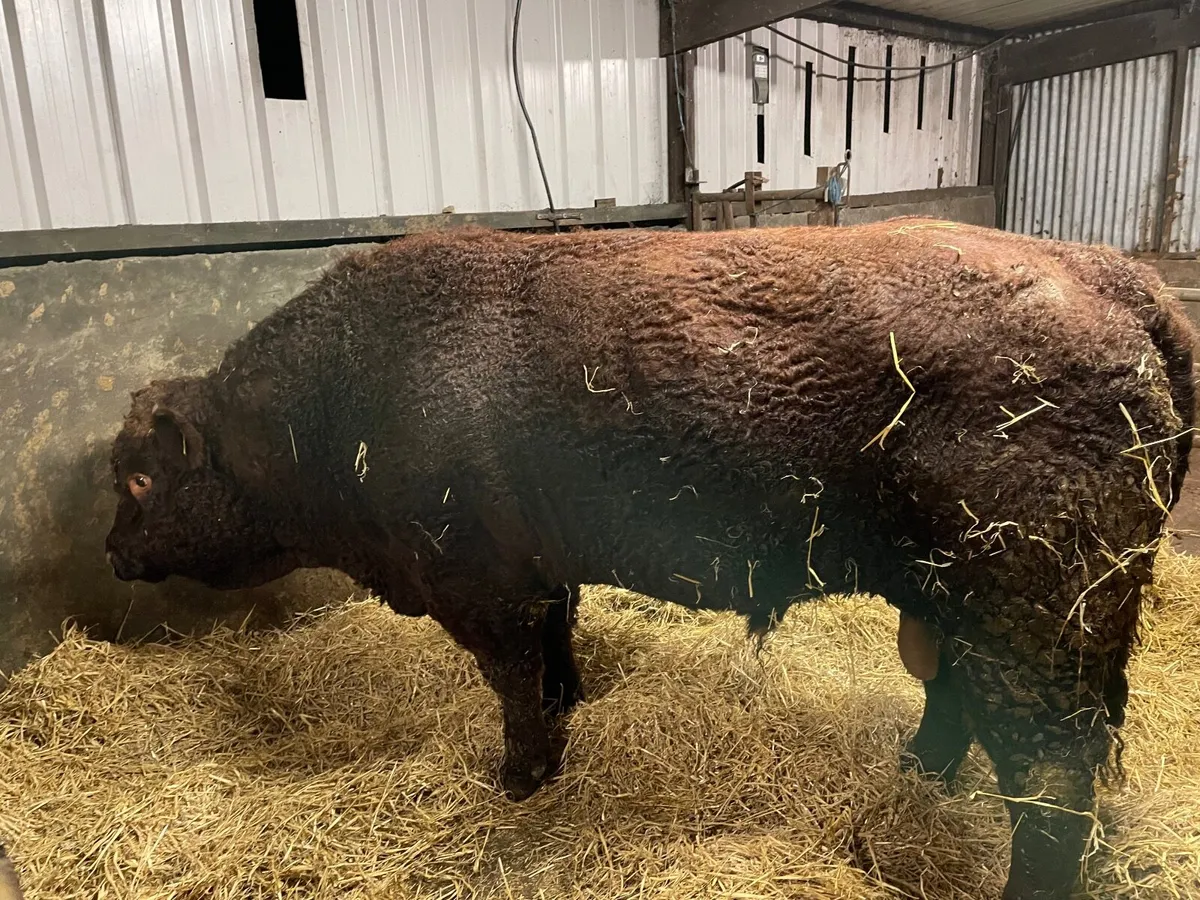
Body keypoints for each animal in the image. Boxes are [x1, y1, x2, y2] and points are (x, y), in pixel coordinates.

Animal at [105, 219, 1195, 899]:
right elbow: (555, 659)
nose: (112, 554)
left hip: (1035, 621)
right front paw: (568, 714)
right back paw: (914, 769)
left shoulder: (482, 590)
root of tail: (1118, 277)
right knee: (956, 697)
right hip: (958, 603)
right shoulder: (540, 574)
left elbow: (515, 688)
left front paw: (520, 780)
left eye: (138, 480)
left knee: (1050, 782)